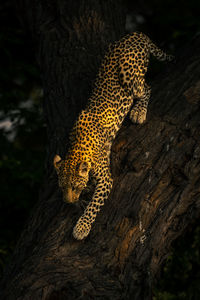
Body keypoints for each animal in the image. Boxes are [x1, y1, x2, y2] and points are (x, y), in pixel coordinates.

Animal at [53, 31, 173, 240]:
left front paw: (81, 227)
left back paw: (138, 113)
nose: (68, 202)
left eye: (74, 186)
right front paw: (81, 199)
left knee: (146, 88)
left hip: (129, 74)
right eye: (62, 187)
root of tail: (136, 34)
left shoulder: (106, 180)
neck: (77, 147)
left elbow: (93, 206)